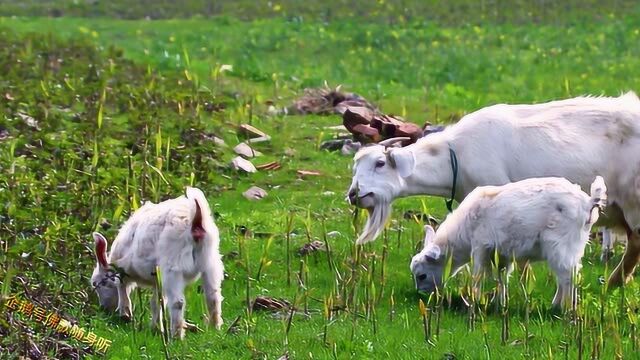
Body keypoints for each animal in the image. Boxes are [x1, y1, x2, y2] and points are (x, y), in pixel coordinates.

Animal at [90, 187, 222, 338]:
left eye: (97, 284)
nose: (104, 309)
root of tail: (196, 220)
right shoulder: (156, 280)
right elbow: (156, 302)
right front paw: (156, 328)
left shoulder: (123, 272)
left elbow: (123, 289)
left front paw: (125, 315)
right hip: (210, 261)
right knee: (213, 296)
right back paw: (214, 329)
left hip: (173, 264)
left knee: (178, 302)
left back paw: (176, 336)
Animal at [348, 92, 640, 286]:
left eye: (380, 163)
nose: (353, 194)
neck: (456, 154)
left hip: (633, 199)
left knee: (635, 242)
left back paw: (614, 283)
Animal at [410, 176, 604, 308]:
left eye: (422, 275)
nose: (421, 294)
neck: (463, 231)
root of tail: (588, 203)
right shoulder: (501, 254)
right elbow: (501, 277)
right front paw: (500, 302)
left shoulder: (480, 246)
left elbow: (478, 275)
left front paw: (475, 301)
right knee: (566, 276)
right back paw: (557, 305)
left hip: (561, 244)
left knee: (569, 275)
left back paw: (566, 309)